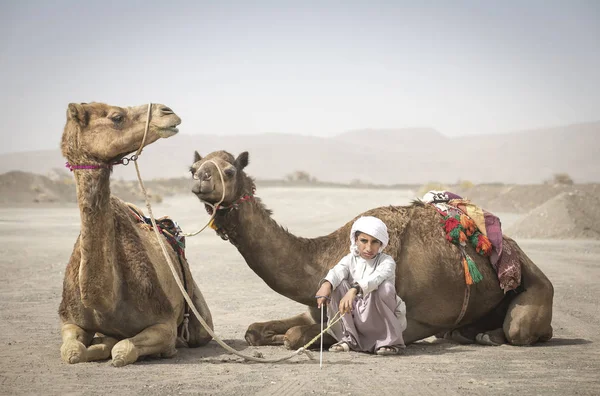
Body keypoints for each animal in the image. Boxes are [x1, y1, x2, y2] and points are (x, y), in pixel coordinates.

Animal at [58, 101, 213, 366]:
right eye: (117, 117)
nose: (167, 111)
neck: (105, 301)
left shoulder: (164, 324)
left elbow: (122, 350)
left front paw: (165, 351)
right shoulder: (70, 320)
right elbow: (73, 352)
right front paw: (96, 347)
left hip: (199, 317)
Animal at [189, 151, 552, 350]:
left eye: (229, 170)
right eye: (194, 168)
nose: (200, 180)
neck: (324, 256)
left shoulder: (408, 324)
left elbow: (294, 336)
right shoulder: (313, 309)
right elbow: (255, 331)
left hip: (535, 291)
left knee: (520, 331)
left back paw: (489, 336)